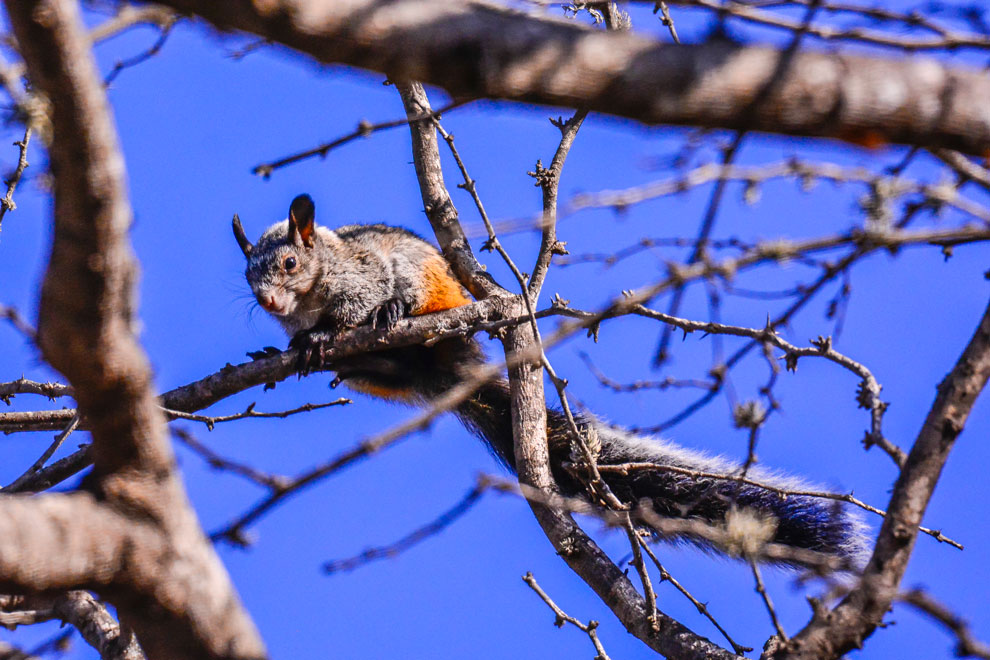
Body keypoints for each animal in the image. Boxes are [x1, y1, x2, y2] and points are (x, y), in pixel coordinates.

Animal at [234, 193, 869, 569]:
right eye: (246, 274)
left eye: (289, 264)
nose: (266, 302)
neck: (312, 295)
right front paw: (294, 344)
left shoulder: (363, 273)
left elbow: (359, 301)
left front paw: (333, 330)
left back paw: (391, 320)